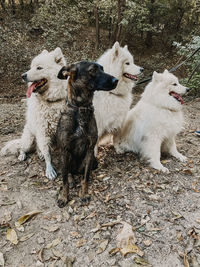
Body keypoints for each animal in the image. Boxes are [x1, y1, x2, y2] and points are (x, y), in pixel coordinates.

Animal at [0, 48, 68, 180]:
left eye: (39, 68)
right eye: (31, 67)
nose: (23, 76)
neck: (52, 101)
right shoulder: (43, 132)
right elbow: (48, 154)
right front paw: (49, 170)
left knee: (37, 148)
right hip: (29, 139)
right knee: (23, 148)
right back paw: (22, 155)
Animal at [56, 61, 118, 208]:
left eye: (102, 69)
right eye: (92, 70)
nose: (116, 80)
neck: (81, 108)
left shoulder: (90, 149)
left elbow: (86, 177)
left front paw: (84, 194)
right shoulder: (65, 150)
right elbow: (64, 180)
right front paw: (64, 197)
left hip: (93, 161)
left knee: (86, 171)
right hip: (63, 158)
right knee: (68, 172)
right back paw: (72, 179)